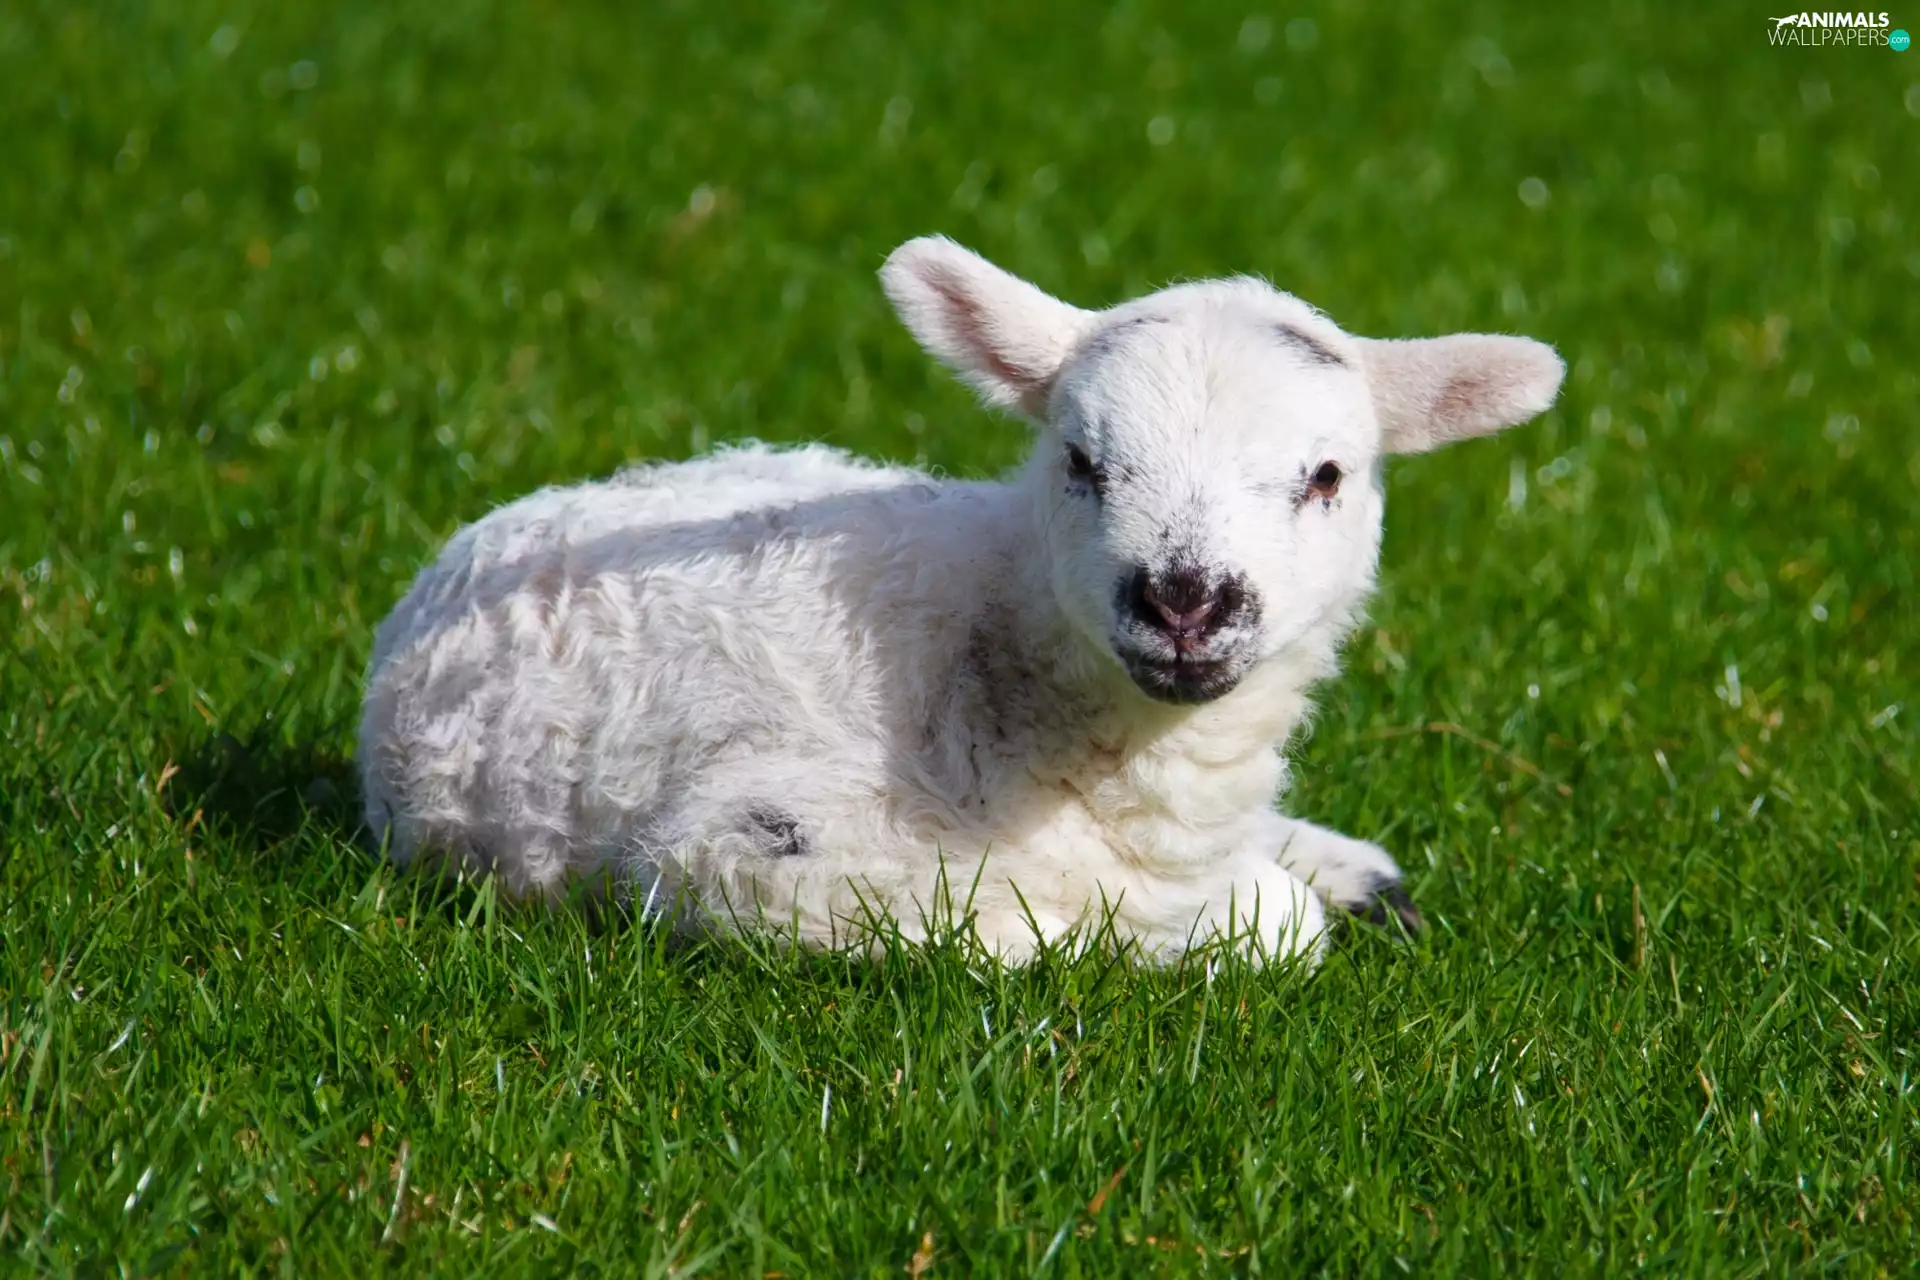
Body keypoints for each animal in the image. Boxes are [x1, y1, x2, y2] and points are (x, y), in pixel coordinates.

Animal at [358, 235, 1564, 964]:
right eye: (1080, 460)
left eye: (1327, 476)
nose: (1184, 600)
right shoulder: (742, 847)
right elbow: (1038, 929)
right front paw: (1213, 920)